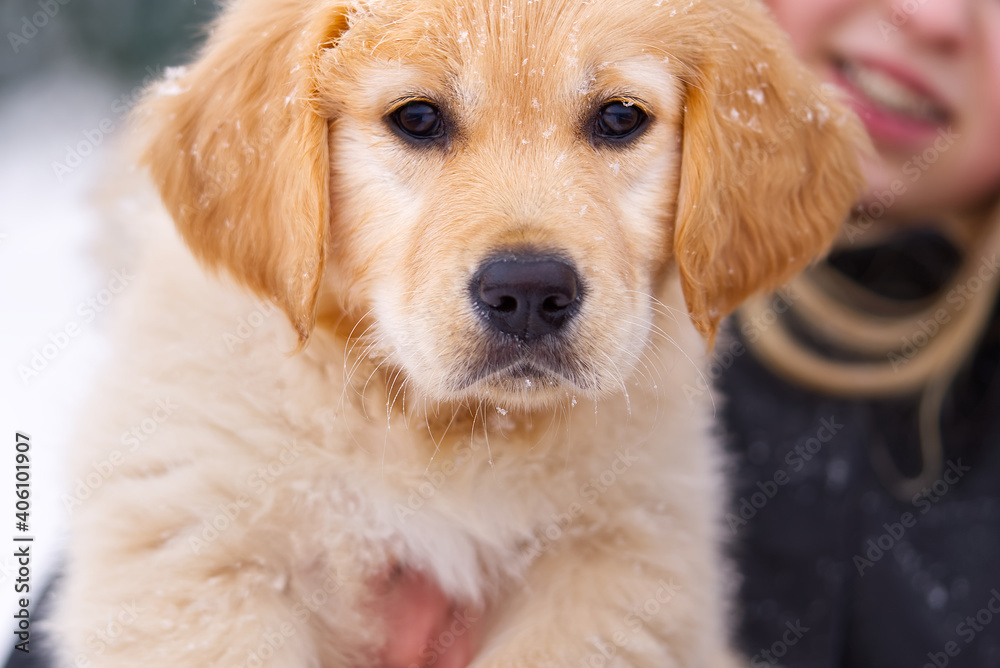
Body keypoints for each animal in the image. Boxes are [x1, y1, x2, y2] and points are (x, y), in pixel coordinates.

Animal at [52, 0, 860, 664]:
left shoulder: (619, 561)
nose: (529, 292)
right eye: (416, 118)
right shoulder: (195, 554)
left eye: (620, 118)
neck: (446, 430)